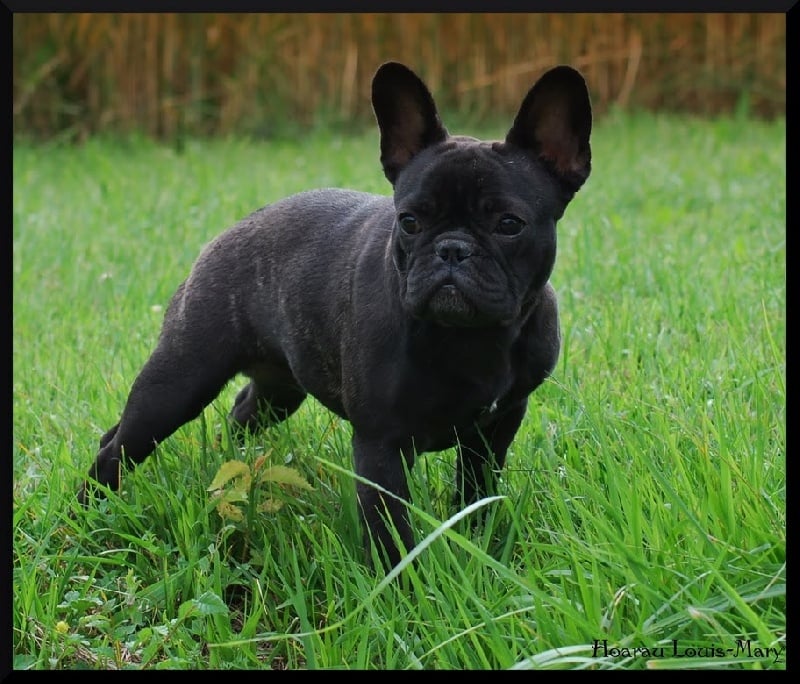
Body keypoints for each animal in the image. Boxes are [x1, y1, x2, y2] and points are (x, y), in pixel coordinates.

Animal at [79, 62, 592, 568]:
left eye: (509, 224)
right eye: (409, 221)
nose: (452, 249)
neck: (470, 337)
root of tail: (233, 229)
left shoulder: (496, 429)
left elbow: (477, 493)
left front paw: (479, 547)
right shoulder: (381, 445)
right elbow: (390, 531)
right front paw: (401, 584)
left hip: (279, 390)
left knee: (238, 411)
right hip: (181, 378)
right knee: (120, 446)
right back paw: (92, 511)